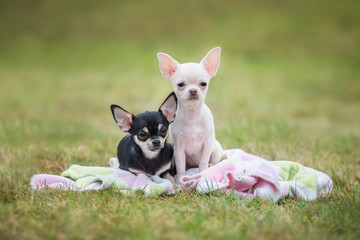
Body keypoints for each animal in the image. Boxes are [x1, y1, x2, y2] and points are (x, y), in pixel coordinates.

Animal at [157, 47, 225, 181]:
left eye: (203, 84)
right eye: (180, 84)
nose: (193, 90)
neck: (192, 114)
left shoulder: (207, 143)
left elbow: (203, 161)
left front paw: (203, 173)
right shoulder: (179, 149)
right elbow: (180, 165)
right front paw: (180, 178)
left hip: (216, 151)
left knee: (215, 161)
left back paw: (211, 165)